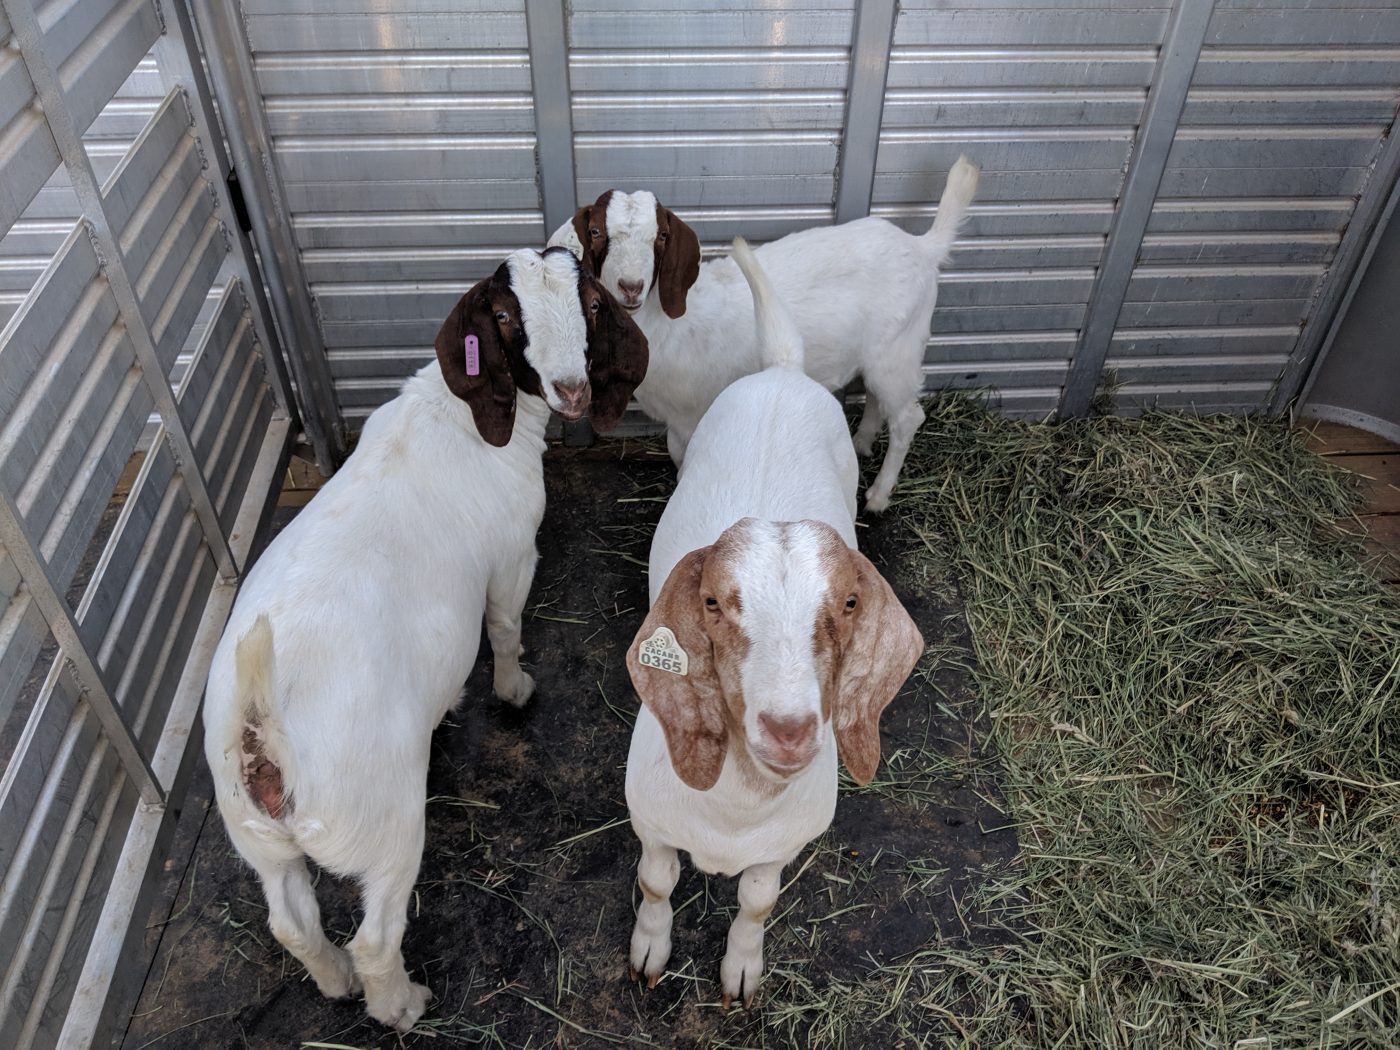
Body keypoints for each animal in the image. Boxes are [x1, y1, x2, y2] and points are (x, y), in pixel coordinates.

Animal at [203, 249, 649, 1036]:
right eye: (504, 317)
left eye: (589, 301)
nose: (572, 389)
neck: (461, 418)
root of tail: (262, 726)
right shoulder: (512, 557)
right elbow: (504, 628)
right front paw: (514, 691)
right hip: (382, 823)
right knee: (377, 936)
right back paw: (399, 1003)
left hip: (257, 837)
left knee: (292, 921)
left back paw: (334, 981)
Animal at [543, 157, 974, 515]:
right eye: (595, 230)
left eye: (661, 237)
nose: (630, 287)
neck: (665, 322)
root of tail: (923, 248)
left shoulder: (690, 418)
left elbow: (683, 461)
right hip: (880, 353)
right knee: (875, 399)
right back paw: (860, 445)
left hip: (899, 350)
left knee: (908, 416)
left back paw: (879, 496)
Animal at [627, 238, 929, 1013]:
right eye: (713, 603)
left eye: (848, 605)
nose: (789, 729)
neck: (738, 809)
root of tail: (786, 369)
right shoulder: (650, 821)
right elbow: (656, 883)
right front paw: (649, 951)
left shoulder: (778, 848)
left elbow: (758, 902)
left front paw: (740, 971)